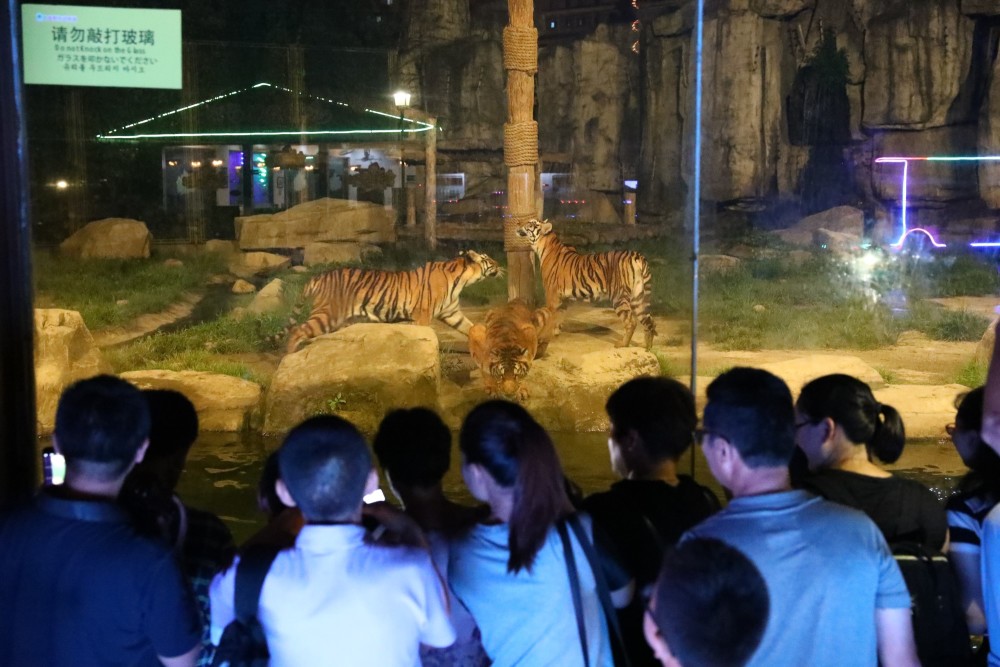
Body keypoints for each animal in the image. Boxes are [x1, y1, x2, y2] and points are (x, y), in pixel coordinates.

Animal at [282, 250, 504, 354]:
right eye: (490, 260)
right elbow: (425, 335)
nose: (501, 265)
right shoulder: (423, 314)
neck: (463, 279)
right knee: (297, 331)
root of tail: (319, 276)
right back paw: (289, 356)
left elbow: (469, 326)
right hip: (327, 315)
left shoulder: (452, 313)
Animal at [516, 219, 656, 352]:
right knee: (649, 321)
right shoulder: (563, 299)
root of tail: (637, 256)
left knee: (632, 322)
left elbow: (550, 317)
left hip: (619, 297)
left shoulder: (552, 295)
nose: (517, 222)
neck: (544, 245)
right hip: (638, 297)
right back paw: (647, 347)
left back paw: (623, 344)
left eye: (530, 223)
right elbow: (558, 317)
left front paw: (546, 336)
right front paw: (555, 333)